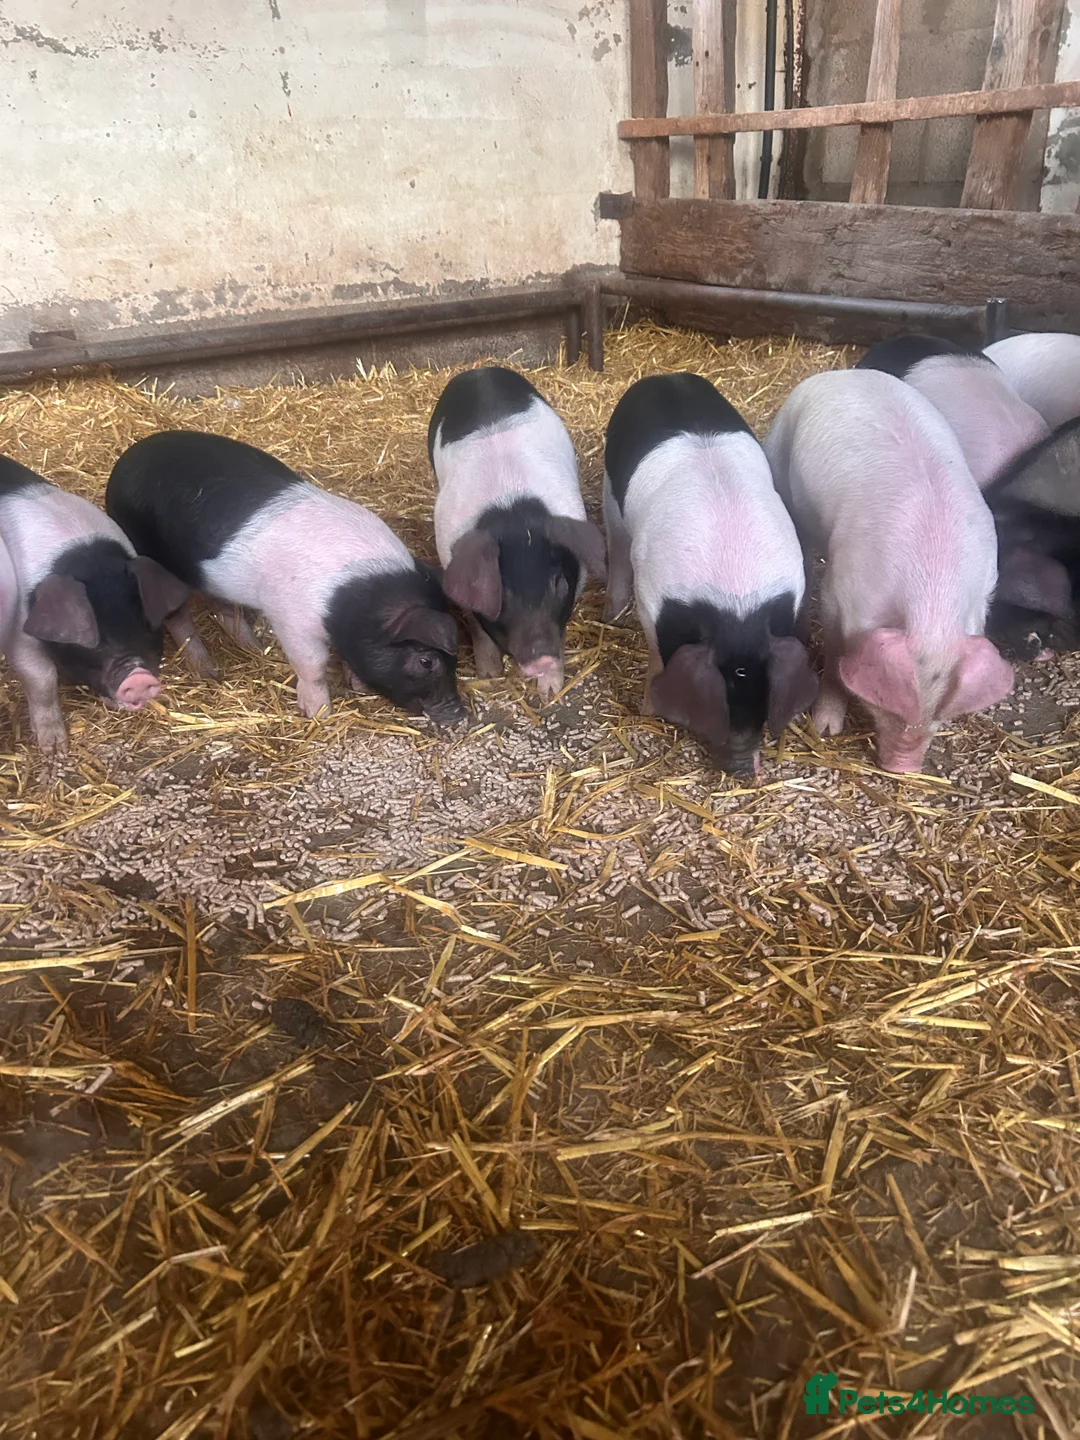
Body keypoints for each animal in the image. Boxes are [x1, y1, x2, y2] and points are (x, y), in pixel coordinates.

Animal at [0, 455, 189, 751]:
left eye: (146, 626)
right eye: (97, 640)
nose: (139, 677)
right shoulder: (19, 634)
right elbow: (42, 678)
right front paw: (54, 749)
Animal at [105, 430, 465, 725]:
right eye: (426, 661)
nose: (459, 715)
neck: (351, 598)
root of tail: (121, 465)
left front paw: (359, 686)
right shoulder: (291, 620)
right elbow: (313, 666)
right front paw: (318, 714)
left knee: (222, 605)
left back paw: (252, 647)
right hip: (153, 556)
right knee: (178, 616)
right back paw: (209, 672)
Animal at [429, 366, 606, 700]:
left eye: (558, 582)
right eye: (503, 591)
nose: (541, 658)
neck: (512, 508)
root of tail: (480, 370)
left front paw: (549, 693)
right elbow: (476, 623)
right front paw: (489, 674)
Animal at [603, 373, 818, 775]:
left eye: (762, 701)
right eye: (723, 699)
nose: (742, 767)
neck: (735, 603)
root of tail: (667, 376)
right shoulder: (650, 597)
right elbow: (656, 655)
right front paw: (648, 710)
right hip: (611, 488)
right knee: (616, 540)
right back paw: (612, 613)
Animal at [763, 369, 1013, 773]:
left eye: (940, 716)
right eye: (884, 704)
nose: (903, 767)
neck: (931, 599)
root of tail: (845, 372)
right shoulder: (841, 589)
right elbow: (835, 652)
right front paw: (827, 727)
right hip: (781, 449)